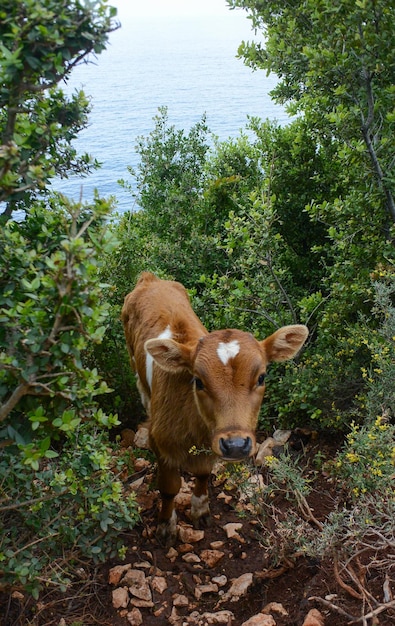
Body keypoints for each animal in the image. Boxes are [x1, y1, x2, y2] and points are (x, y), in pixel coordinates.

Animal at [121, 270, 310, 544]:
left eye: (261, 377)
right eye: (198, 381)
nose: (236, 444)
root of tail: (151, 278)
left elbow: (202, 474)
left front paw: (200, 510)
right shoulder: (162, 441)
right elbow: (169, 488)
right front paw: (166, 526)